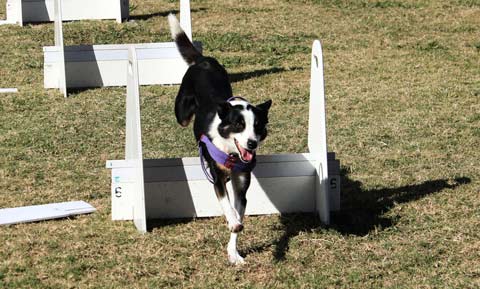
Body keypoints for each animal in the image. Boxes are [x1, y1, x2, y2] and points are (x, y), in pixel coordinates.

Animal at [168, 15, 272, 264]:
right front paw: (233, 222)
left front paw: (234, 253)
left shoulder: (241, 181)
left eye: (257, 126)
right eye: (239, 125)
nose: (252, 143)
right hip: (182, 115)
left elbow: (238, 210)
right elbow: (227, 205)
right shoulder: (216, 177)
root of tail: (203, 59)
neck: (231, 153)